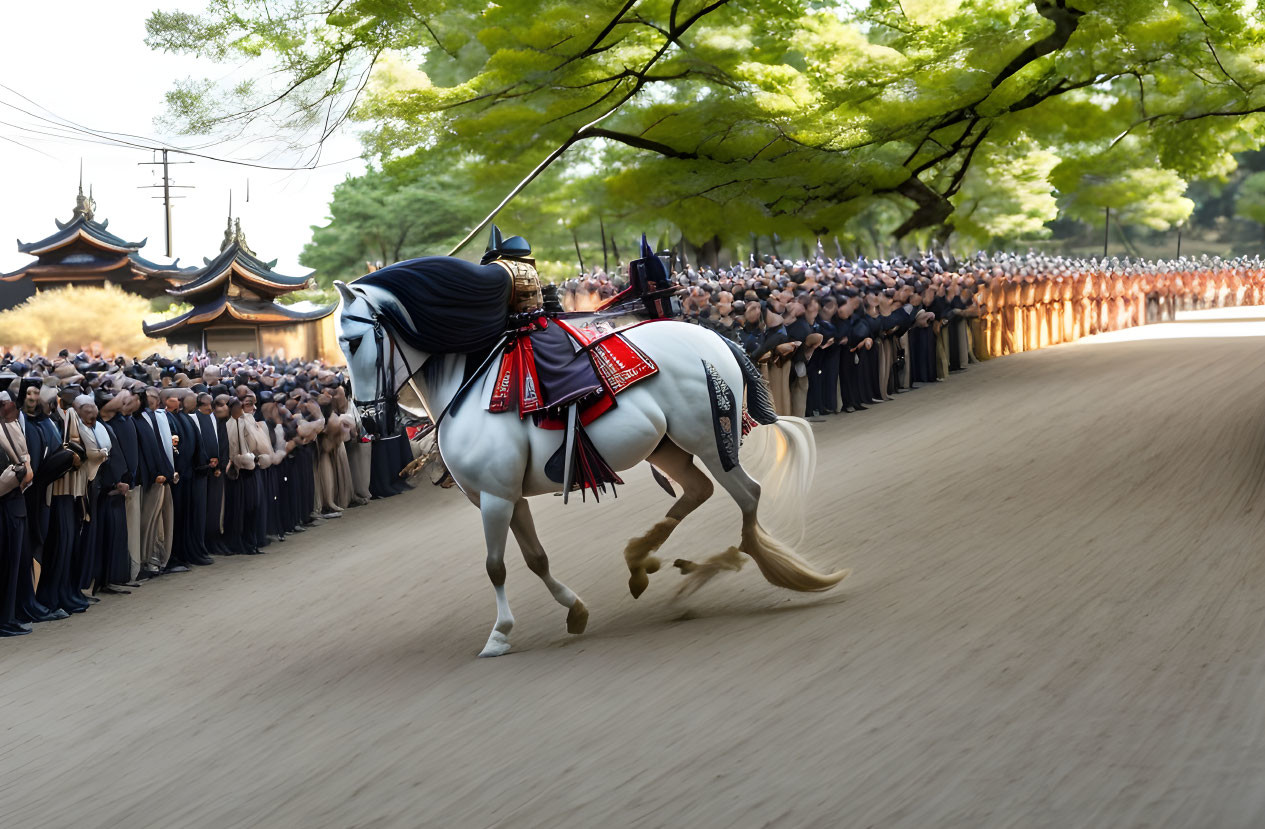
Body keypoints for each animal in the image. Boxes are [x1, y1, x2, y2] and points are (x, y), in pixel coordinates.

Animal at [336, 282, 850, 658]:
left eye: (354, 340)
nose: (369, 422)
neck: (468, 390)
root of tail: (713, 337)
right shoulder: (507, 497)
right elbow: (535, 559)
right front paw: (575, 609)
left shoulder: (495, 499)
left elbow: (496, 566)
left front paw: (500, 634)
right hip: (665, 447)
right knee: (699, 492)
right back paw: (645, 562)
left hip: (709, 439)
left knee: (748, 495)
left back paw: (741, 567)